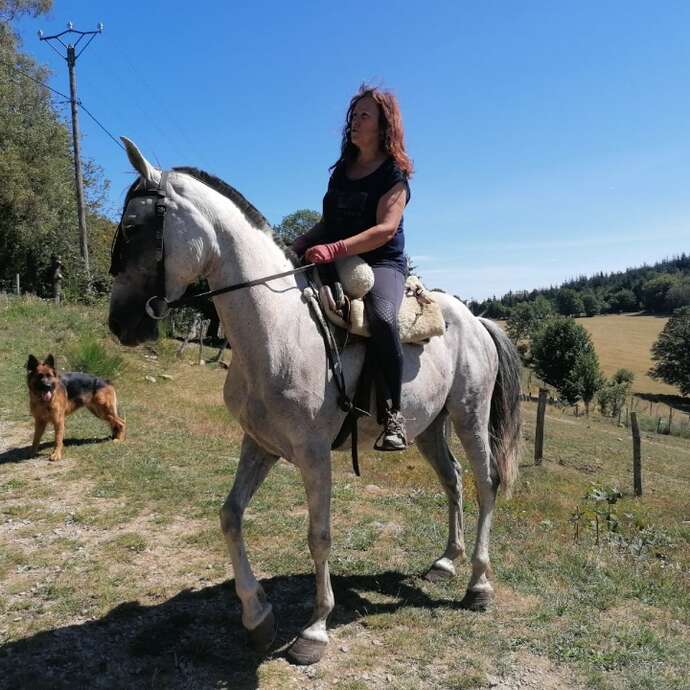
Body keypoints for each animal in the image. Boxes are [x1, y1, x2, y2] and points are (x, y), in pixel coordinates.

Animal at [108, 138, 522, 665]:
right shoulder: (259, 444)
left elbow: (319, 536)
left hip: (470, 416)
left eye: (133, 227)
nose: (120, 323)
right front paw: (257, 616)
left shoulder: (313, 455)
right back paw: (447, 561)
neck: (278, 328)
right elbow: (229, 516)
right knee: (452, 480)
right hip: (430, 426)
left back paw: (479, 585)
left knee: (486, 484)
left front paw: (315, 630)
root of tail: (477, 319)